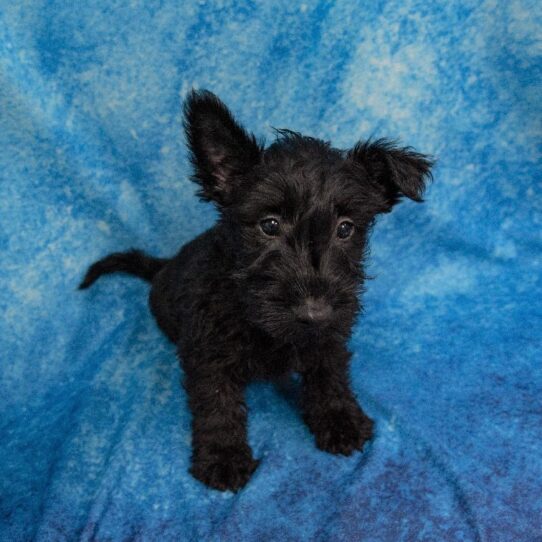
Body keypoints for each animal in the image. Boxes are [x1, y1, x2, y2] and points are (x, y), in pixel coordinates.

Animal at [81, 90, 436, 492]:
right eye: (269, 224)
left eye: (345, 228)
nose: (314, 312)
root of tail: (163, 264)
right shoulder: (208, 354)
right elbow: (217, 405)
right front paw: (223, 456)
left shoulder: (329, 335)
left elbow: (330, 373)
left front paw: (340, 419)